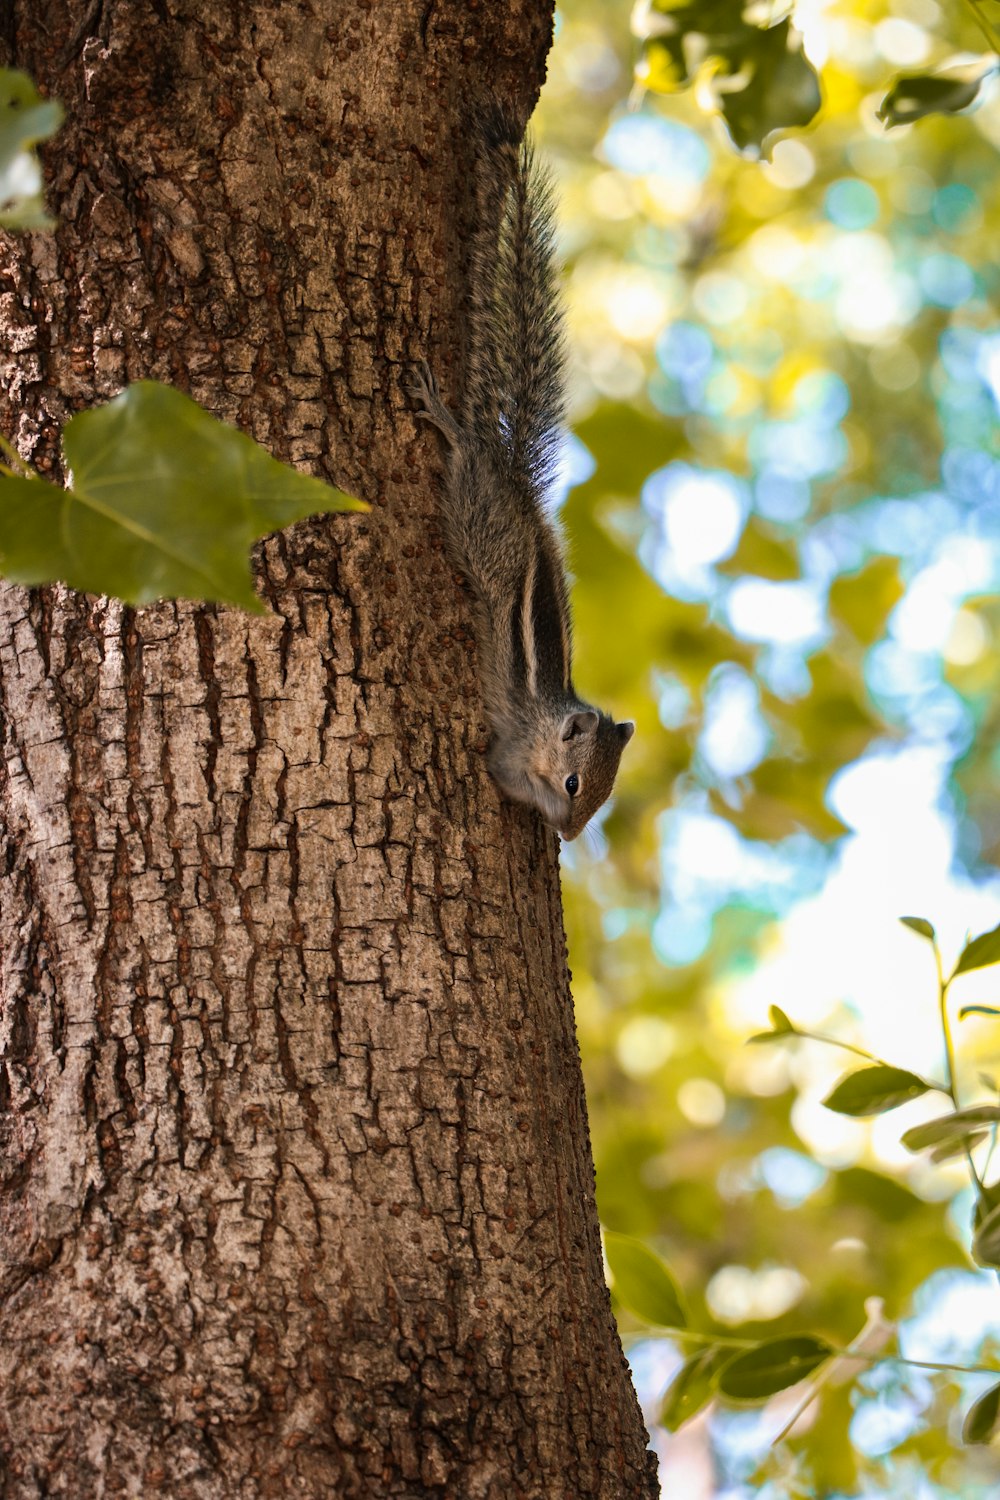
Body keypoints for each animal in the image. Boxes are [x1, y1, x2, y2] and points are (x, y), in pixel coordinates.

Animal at [407, 114, 632, 846]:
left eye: (601, 798)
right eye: (574, 784)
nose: (568, 834)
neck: (548, 718)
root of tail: (514, 482)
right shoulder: (513, 748)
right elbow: (500, 771)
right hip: (480, 522)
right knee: (466, 459)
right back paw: (449, 424)